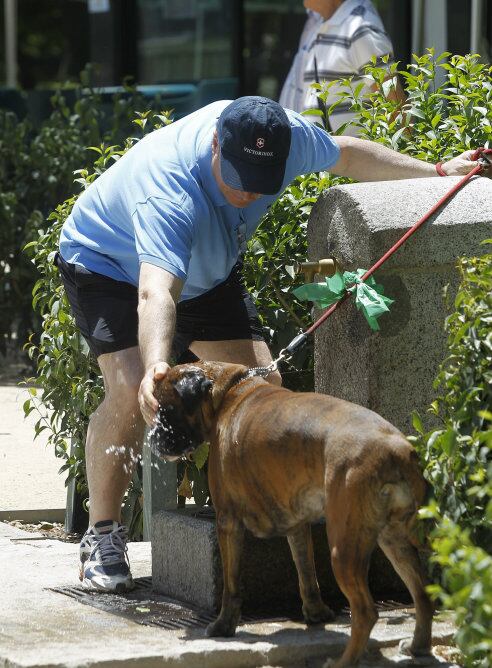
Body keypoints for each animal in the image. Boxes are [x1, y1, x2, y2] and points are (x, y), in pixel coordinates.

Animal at [152, 362, 432, 664]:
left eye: (166, 410)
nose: (154, 437)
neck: (229, 392)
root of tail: (395, 450)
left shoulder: (227, 522)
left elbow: (231, 585)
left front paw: (223, 626)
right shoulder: (297, 526)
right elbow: (306, 571)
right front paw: (316, 613)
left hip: (344, 551)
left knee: (366, 612)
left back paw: (343, 662)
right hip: (395, 541)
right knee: (423, 596)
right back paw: (418, 647)